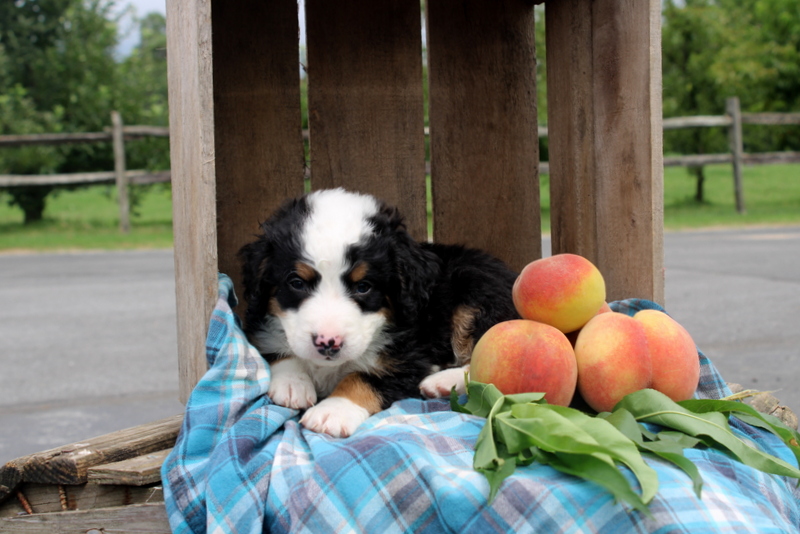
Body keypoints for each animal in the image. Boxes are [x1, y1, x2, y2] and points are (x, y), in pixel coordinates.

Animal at [238, 191, 520, 438]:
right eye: (296, 283)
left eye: (364, 287)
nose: (328, 343)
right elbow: (276, 348)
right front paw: (292, 384)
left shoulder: (409, 359)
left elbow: (361, 378)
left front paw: (332, 412)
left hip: (477, 291)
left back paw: (440, 381)